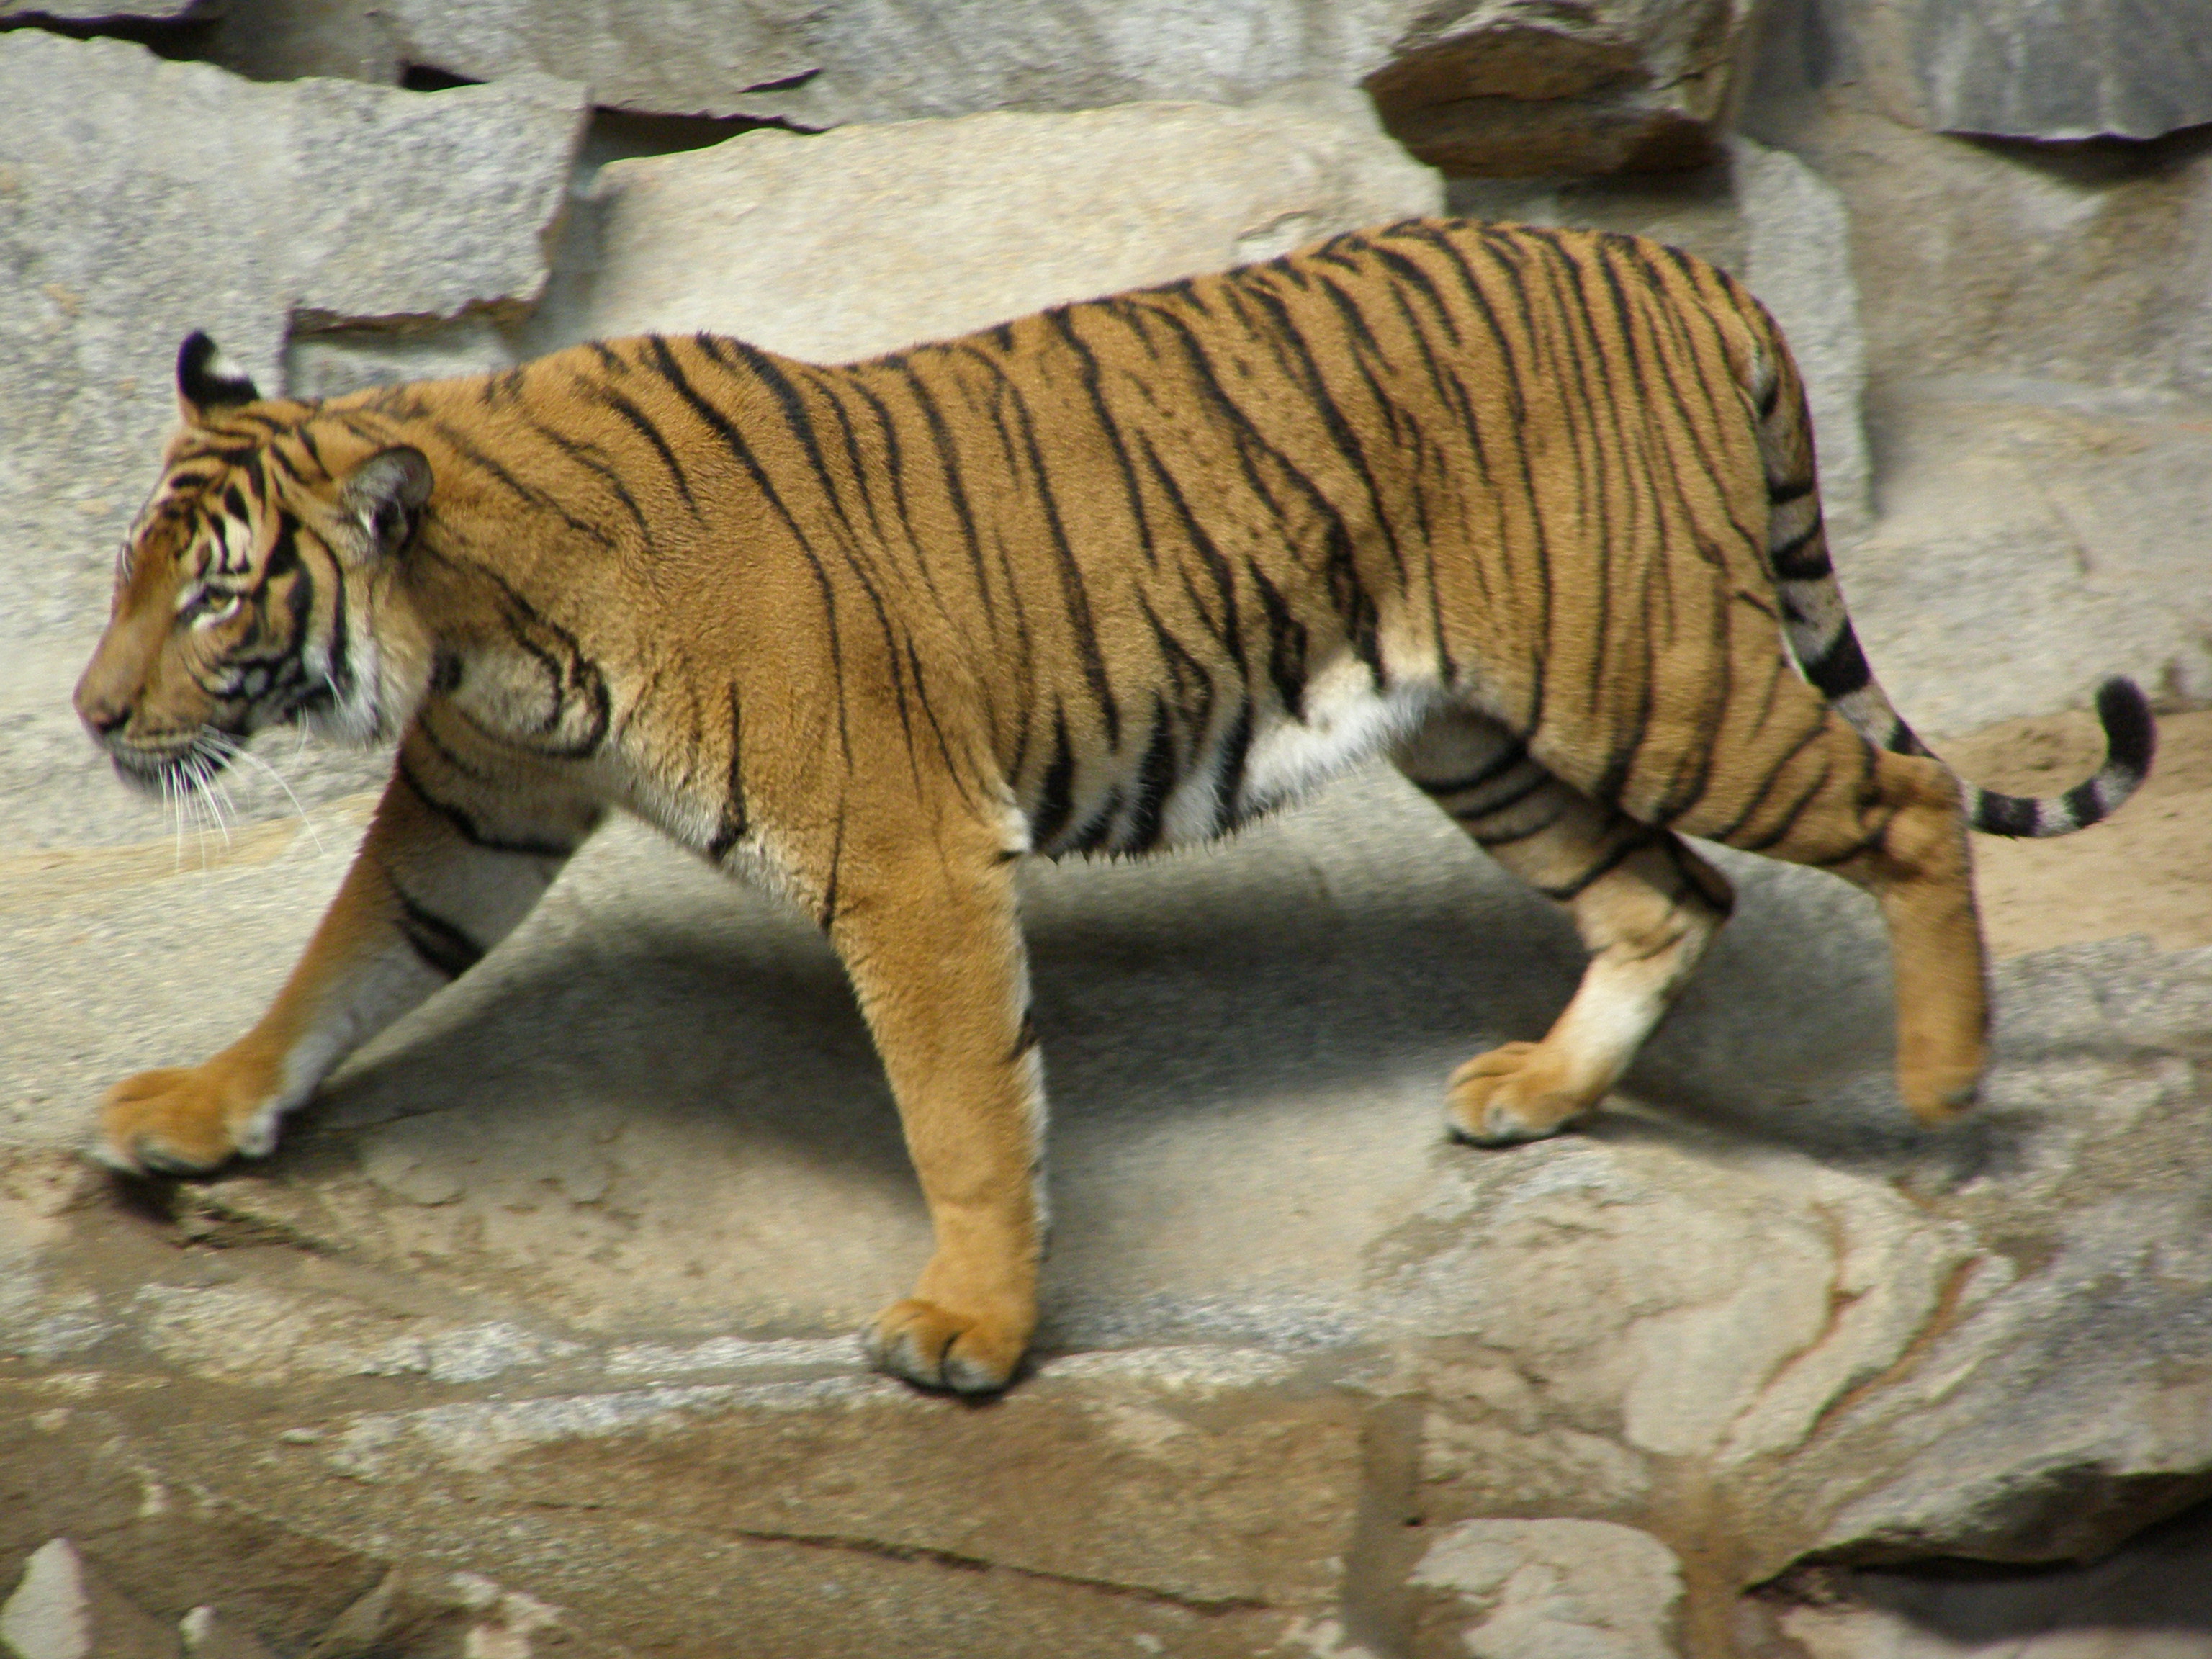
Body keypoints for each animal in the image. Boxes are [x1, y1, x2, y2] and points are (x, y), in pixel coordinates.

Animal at [78, 217, 2149, 1389]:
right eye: (127, 576)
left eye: (216, 599)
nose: (93, 718)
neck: (481, 622)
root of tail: (1694, 265)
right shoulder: (478, 808)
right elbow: (338, 965)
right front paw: (191, 1111)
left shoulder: (904, 858)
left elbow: (963, 1111)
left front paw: (973, 1337)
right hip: (1478, 726)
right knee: (1671, 895)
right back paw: (1540, 1093)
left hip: (1643, 668)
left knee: (1901, 800)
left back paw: (1944, 1077)